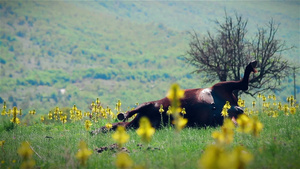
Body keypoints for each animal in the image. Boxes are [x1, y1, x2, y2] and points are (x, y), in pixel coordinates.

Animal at [90, 60, 256, 135]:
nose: (93, 132)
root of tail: (234, 106)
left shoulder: (150, 105)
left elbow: (131, 112)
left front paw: (121, 116)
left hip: (219, 86)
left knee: (243, 84)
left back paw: (251, 66)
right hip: (227, 112)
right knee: (243, 87)